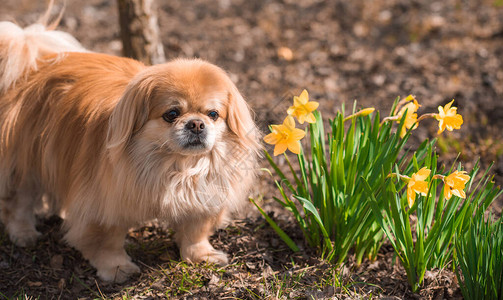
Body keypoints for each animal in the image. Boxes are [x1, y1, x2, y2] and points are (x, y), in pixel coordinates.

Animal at [0, 12, 260, 282]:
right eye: (172, 114)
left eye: (213, 114)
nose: (197, 124)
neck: (175, 166)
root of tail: (33, 65)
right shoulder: (104, 205)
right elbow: (107, 241)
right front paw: (117, 269)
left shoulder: (203, 199)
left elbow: (195, 232)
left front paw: (201, 256)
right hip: (25, 162)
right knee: (18, 201)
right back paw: (23, 233)